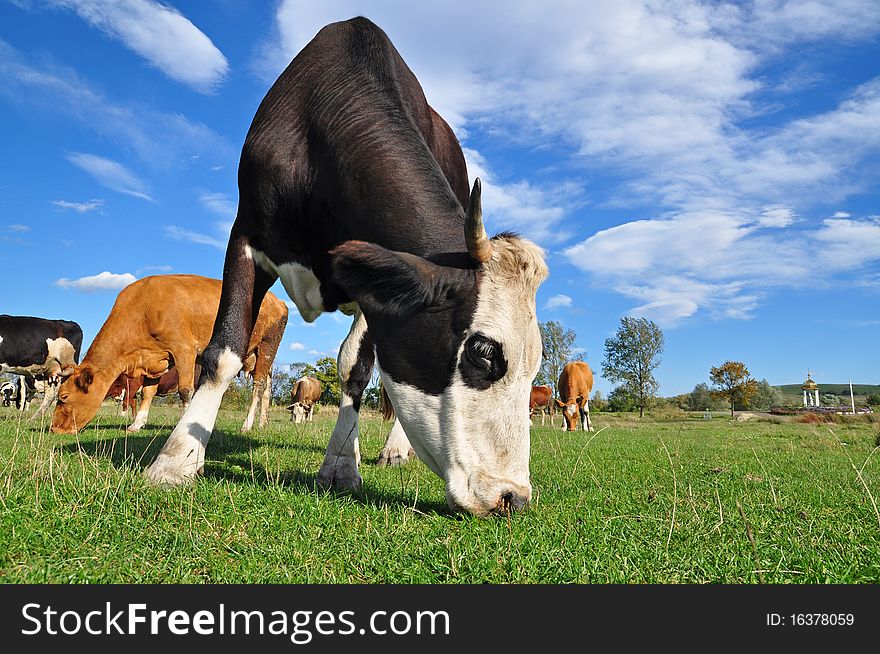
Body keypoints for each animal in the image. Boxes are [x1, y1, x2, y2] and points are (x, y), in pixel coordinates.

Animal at [50, 276, 288, 436]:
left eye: (64, 397)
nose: (54, 429)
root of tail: (279, 301)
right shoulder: (156, 358)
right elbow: (148, 393)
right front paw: (137, 424)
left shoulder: (184, 349)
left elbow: (185, 391)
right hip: (258, 356)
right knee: (267, 387)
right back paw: (263, 423)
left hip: (267, 345)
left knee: (258, 386)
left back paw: (247, 425)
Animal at [143, 16, 552, 516]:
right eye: (483, 350)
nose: (513, 496)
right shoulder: (245, 236)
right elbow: (223, 352)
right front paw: (176, 459)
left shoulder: (374, 288)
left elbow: (354, 368)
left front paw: (340, 464)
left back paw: (394, 449)